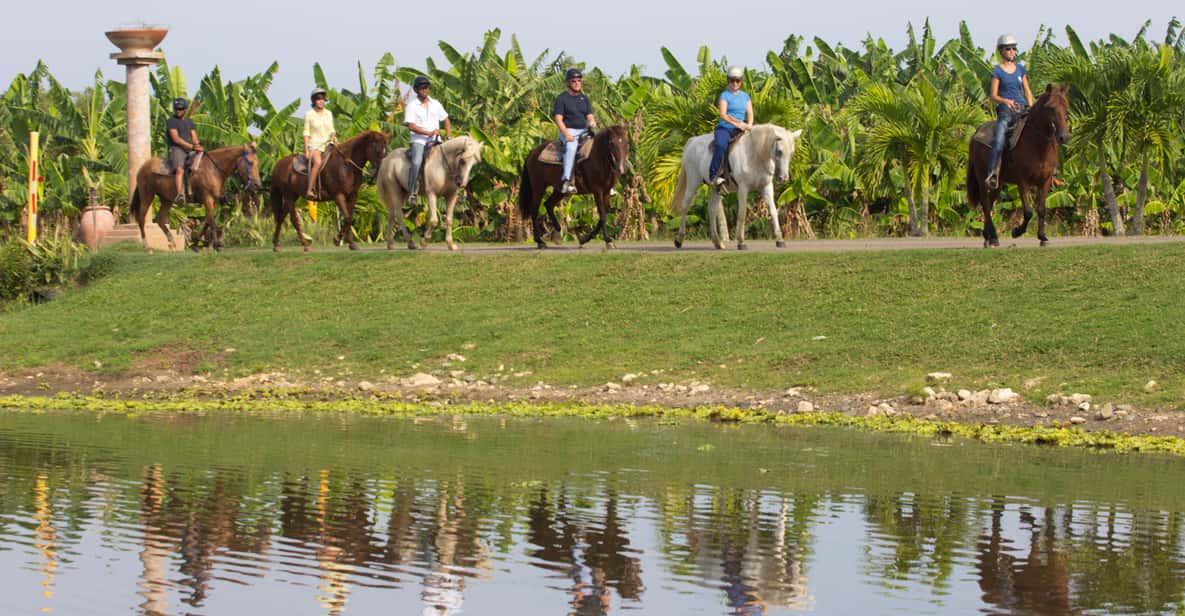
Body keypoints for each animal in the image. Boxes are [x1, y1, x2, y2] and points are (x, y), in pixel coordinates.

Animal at [130, 143, 263, 251]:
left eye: (258, 163)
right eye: (251, 162)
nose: (257, 184)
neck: (212, 169)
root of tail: (143, 167)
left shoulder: (213, 201)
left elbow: (208, 220)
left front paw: (196, 243)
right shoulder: (207, 198)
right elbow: (212, 221)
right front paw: (217, 244)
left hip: (166, 199)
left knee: (160, 219)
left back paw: (172, 243)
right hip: (147, 195)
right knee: (141, 219)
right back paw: (147, 247)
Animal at [673, 123, 801, 248]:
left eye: (792, 153)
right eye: (779, 151)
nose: (783, 178)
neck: (755, 154)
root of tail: (693, 141)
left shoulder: (766, 187)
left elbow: (773, 211)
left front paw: (780, 240)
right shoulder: (743, 188)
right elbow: (742, 213)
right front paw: (741, 241)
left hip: (716, 188)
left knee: (712, 210)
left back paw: (717, 242)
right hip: (693, 181)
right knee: (685, 206)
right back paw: (679, 239)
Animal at [966, 84, 1071, 247]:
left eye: (1066, 107)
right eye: (1051, 108)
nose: (1064, 137)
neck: (1037, 144)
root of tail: (976, 133)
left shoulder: (1045, 181)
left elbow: (1041, 209)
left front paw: (1043, 237)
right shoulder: (1023, 182)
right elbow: (1028, 212)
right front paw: (1016, 232)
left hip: (998, 183)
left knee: (990, 203)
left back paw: (989, 237)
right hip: (982, 177)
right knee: (985, 203)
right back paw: (992, 237)